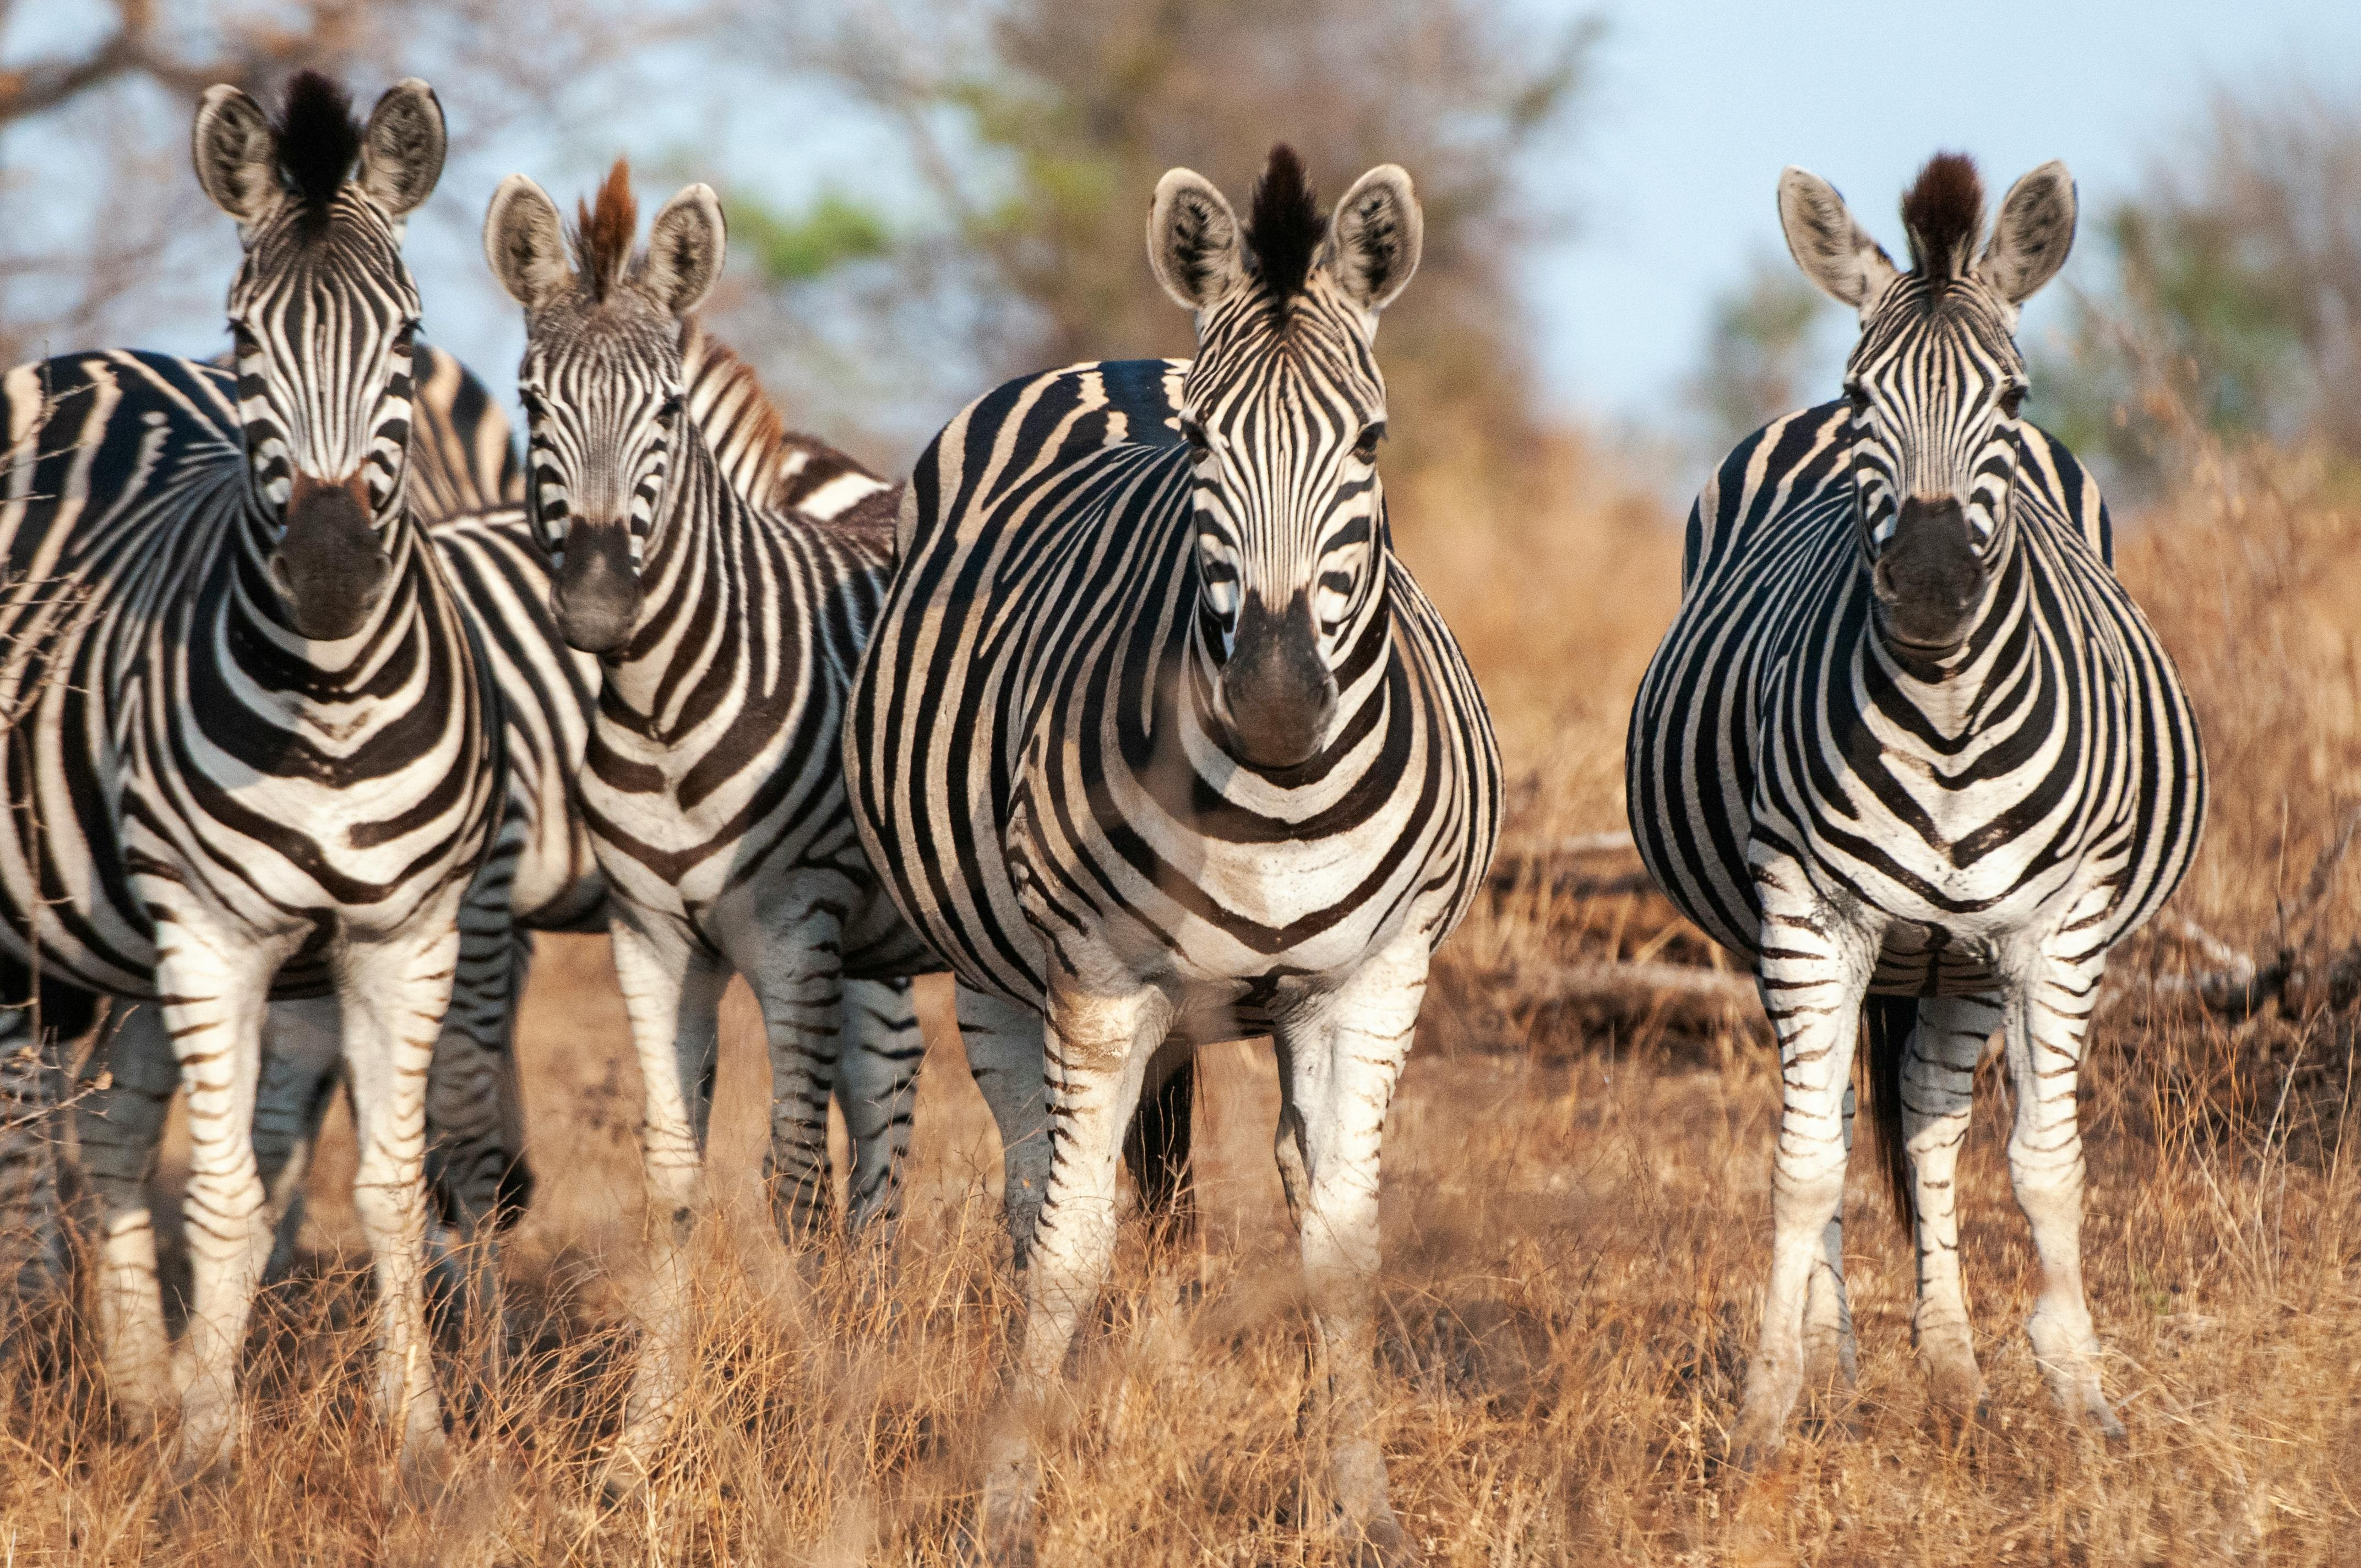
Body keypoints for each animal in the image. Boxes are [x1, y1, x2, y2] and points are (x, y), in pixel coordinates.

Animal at [0, 74, 506, 1478]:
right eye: (243, 342)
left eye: (409, 337)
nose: (330, 571)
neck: (327, 704)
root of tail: (83, 361)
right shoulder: (216, 935)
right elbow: (227, 1197)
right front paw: (210, 1452)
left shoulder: (405, 933)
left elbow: (386, 1191)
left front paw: (416, 1442)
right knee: (22, 1139)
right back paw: (31, 1365)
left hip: (120, 939)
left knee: (107, 1136)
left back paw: (128, 1385)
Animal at [481, 162, 1045, 1470]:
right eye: (531, 403)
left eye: (665, 412)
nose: (595, 606)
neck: (663, 704)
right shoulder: (650, 935)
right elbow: (673, 1183)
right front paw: (639, 1445)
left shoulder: (798, 929)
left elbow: (792, 1180)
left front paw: (819, 1431)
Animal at [845, 147, 1501, 1561]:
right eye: (1203, 446)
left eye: (1370, 440)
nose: (1274, 698)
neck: (1276, 797)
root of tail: (1119, 362)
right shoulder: (1098, 983)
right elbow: (1067, 1246)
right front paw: (1009, 1500)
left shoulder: (1374, 980)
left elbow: (1339, 1244)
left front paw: (1360, 1500)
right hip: (997, 975)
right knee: (1036, 1194)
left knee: (1260, 1180)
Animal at [1626, 153, 2206, 1467]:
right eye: (1862, 398)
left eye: (2011, 393)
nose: (1934, 586)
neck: (1941, 713)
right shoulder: (1806, 913)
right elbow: (1803, 1166)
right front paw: (1767, 1403)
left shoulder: (2054, 927)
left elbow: (2043, 1166)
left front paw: (2078, 1393)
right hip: (1815, 943)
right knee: (1842, 1117)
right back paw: (1840, 1360)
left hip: (1959, 958)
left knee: (1933, 1120)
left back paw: (1951, 1369)